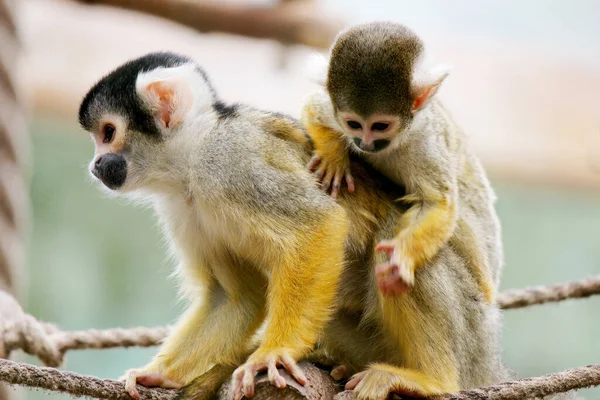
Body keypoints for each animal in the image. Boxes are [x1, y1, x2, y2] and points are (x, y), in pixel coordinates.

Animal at [79, 53, 352, 400]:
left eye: (108, 133)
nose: (95, 164)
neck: (191, 159)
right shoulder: (181, 207)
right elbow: (238, 298)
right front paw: (157, 374)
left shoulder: (229, 162)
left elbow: (317, 226)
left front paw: (276, 352)